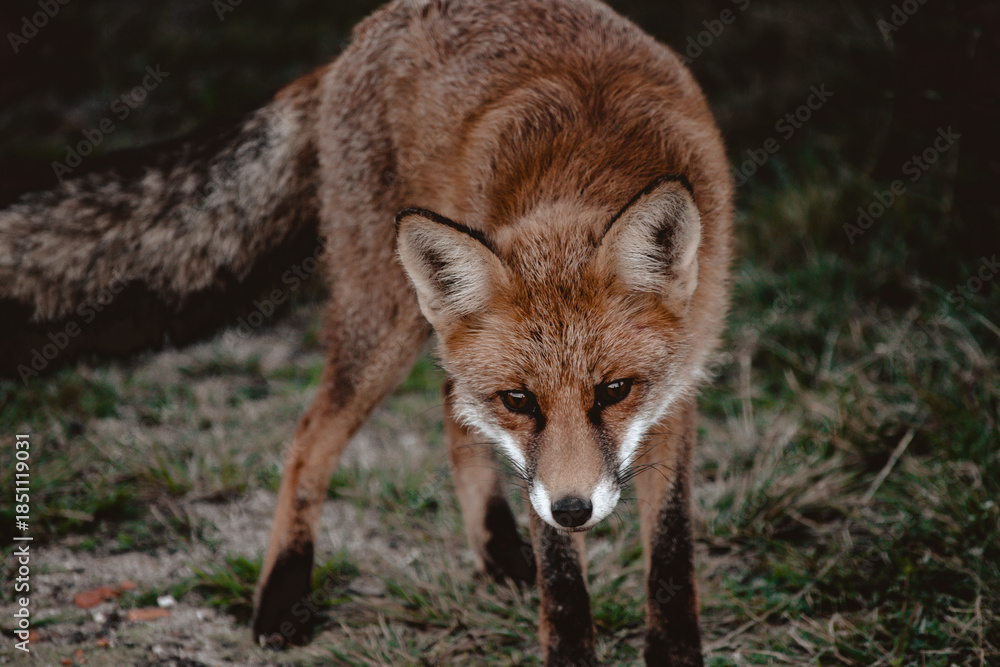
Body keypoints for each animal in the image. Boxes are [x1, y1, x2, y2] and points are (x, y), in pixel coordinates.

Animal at [0, 0, 733, 664]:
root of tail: (365, 29)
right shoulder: (541, 469)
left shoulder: (675, 393)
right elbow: (564, 587)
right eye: (520, 401)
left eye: (614, 390)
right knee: (310, 438)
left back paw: (496, 550)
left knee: (450, 408)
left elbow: (671, 558)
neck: (586, 166)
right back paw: (284, 594)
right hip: (383, 323)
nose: (574, 509)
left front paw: (675, 655)